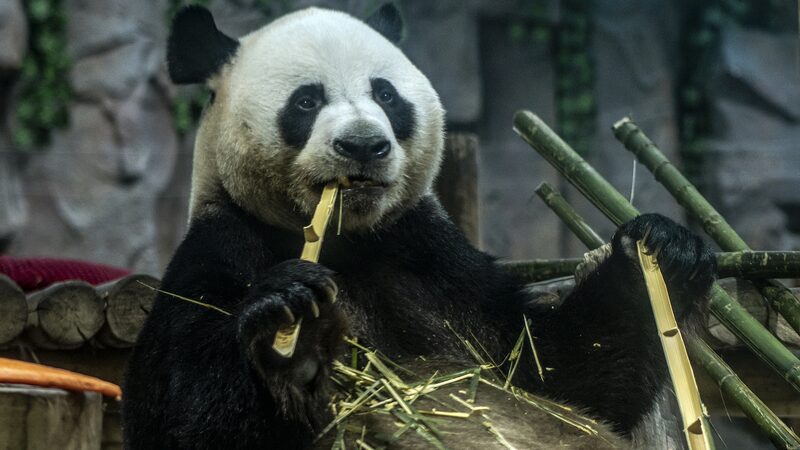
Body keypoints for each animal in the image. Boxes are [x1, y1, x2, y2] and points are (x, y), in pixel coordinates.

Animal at [122, 4, 715, 449]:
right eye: (307, 101)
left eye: (386, 95)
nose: (363, 144)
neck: (342, 245)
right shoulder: (220, 251)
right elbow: (187, 420)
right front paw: (292, 331)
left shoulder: (430, 259)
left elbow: (558, 375)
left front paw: (663, 253)